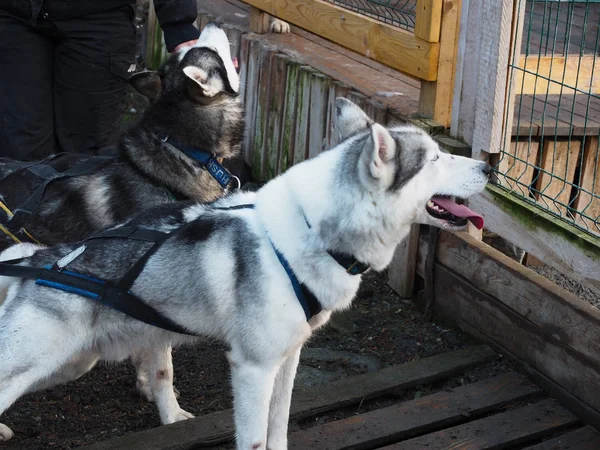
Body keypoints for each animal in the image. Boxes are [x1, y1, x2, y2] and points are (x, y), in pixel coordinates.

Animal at [0, 98, 490, 446]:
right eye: (434, 160)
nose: (490, 164)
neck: (308, 235)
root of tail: (38, 258)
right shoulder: (253, 369)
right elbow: (253, 439)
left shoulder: (287, 360)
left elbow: (278, 431)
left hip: (72, 364)